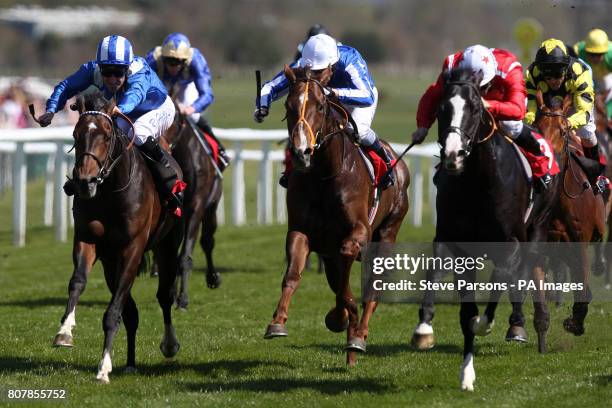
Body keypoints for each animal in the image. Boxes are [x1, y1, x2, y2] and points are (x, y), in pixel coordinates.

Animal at [47, 92, 182, 382]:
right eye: (75, 134)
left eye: (107, 136)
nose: (84, 181)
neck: (110, 191)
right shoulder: (88, 239)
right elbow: (78, 282)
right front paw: (65, 331)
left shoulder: (133, 248)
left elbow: (112, 313)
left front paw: (103, 368)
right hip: (111, 263)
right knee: (131, 312)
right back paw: (130, 362)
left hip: (167, 245)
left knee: (164, 296)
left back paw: (169, 344)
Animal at [160, 107, 222, 308]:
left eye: (173, 118)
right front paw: (172, 294)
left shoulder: (196, 207)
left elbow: (185, 255)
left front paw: (183, 299)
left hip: (211, 207)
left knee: (208, 241)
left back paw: (212, 278)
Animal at [264, 65, 412, 364]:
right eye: (288, 105)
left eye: (320, 106)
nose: (301, 152)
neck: (325, 176)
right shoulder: (302, 232)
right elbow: (293, 274)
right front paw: (278, 322)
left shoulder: (359, 233)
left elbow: (347, 279)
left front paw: (346, 320)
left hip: (387, 234)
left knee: (372, 290)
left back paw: (358, 336)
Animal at [414, 68, 556, 390]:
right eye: (442, 108)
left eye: (476, 109)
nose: (453, 155)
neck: (478, 184)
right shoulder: (454, 243)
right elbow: (458, 302)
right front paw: (464, 371)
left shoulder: (510, 243)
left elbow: (497, 285)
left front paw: (485, 324)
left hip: (536, 231)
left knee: (521, 275)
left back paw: (520, 327)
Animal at [532, 92, 604, 338]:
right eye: (536, 129)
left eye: (563, 131)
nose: (545, 162)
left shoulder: (578, 244)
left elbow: (582, 286)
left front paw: (575, 322)